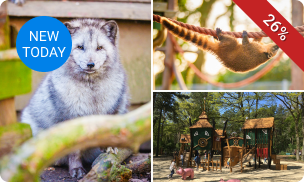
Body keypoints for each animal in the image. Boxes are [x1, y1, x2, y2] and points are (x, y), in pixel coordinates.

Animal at [20, 18, 129, 179]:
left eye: (99, 47)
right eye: (80, 47)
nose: (90, 64)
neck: (91, 91)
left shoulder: (112, 111)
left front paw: (109, 147)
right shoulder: (71, 120)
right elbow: (74, 152)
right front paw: (76, 169)